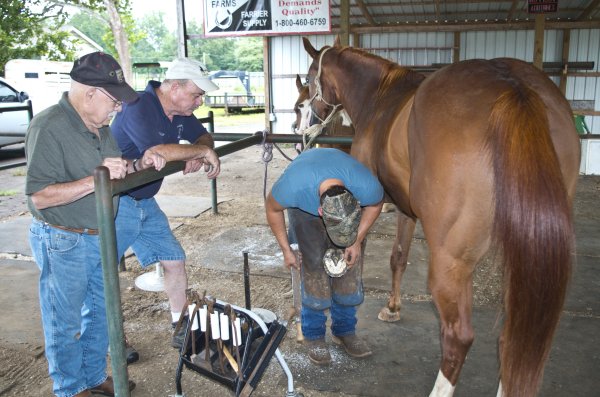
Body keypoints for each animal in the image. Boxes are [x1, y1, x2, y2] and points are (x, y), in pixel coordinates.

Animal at [302, 37, 580, 396]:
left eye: (310, 80)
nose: (304, 129)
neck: (380, 98)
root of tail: (513, 88)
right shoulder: (406, 211)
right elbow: (398, 257)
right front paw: (392, 308)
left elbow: (355, 257)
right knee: (511, 341)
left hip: (450, 262)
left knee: (458, 337)